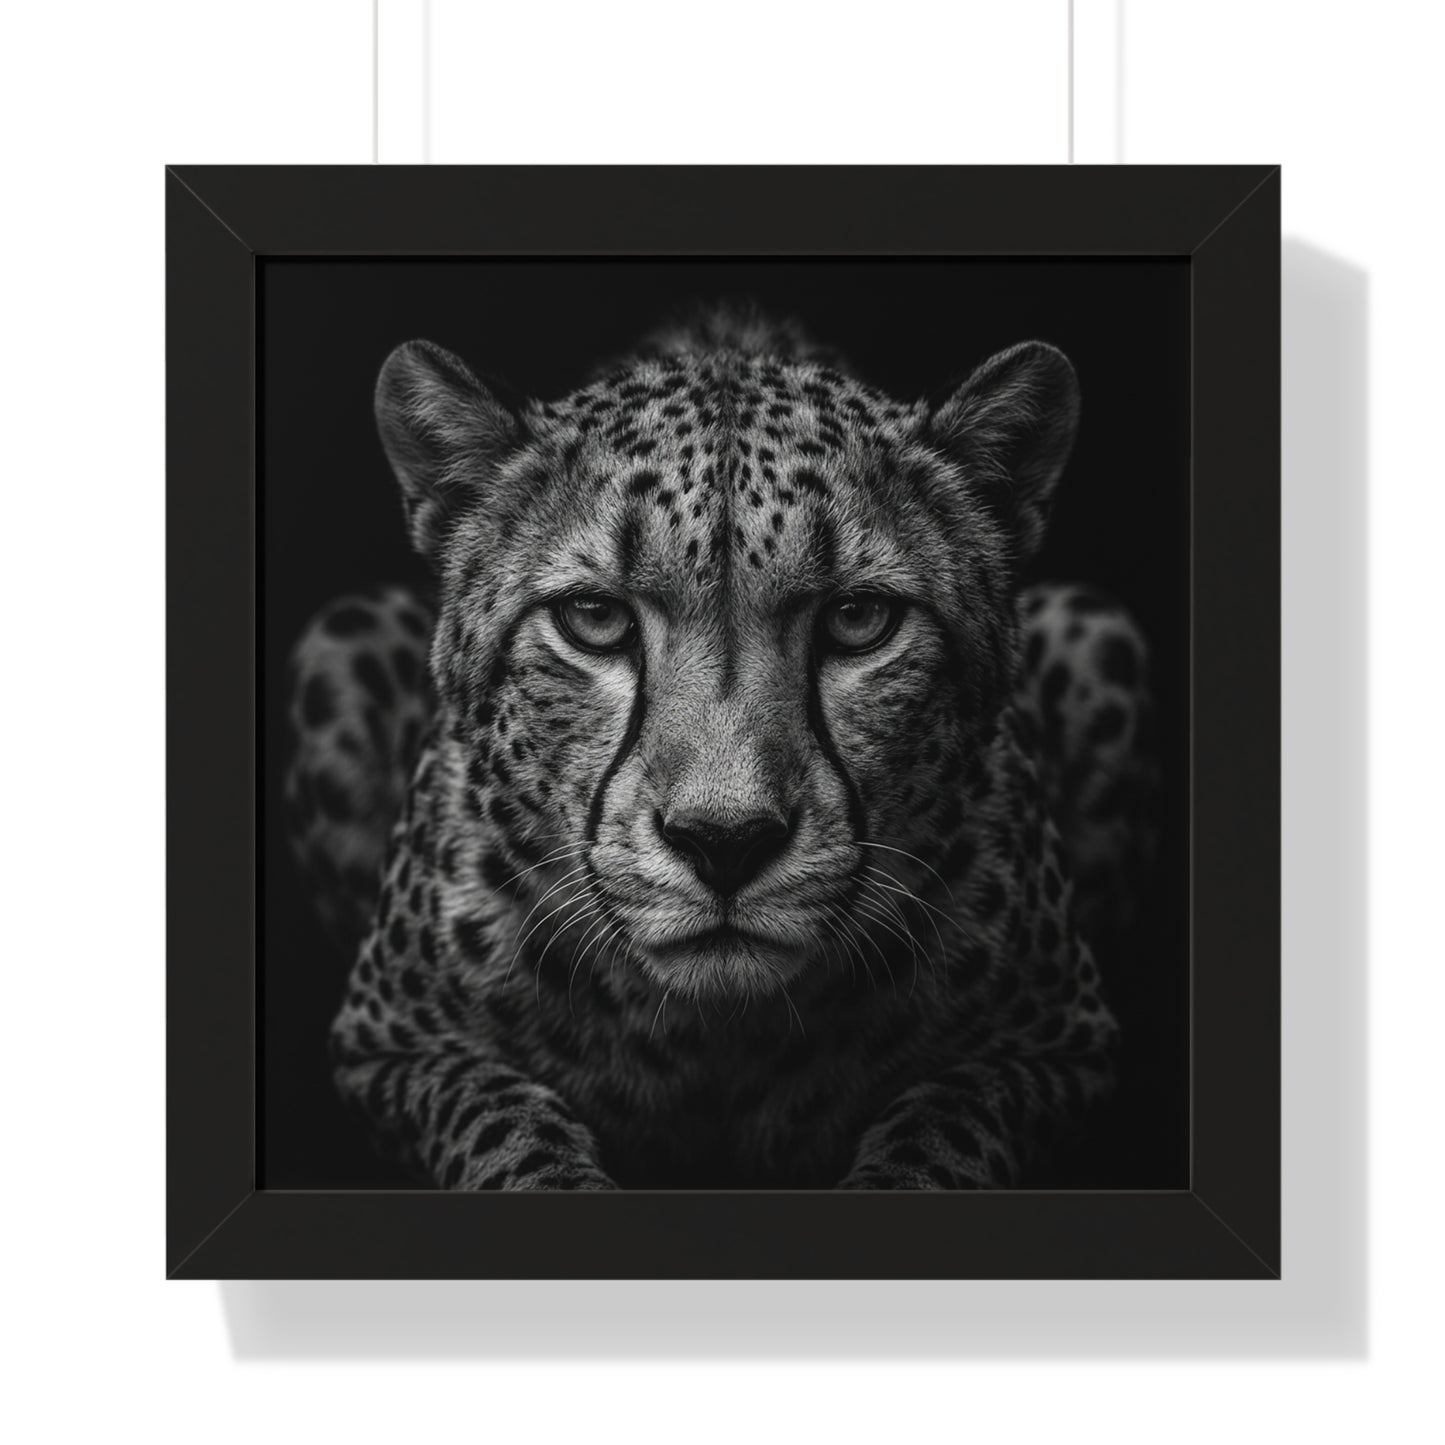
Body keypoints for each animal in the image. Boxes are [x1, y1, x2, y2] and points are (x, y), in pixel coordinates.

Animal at [284, 305, 1158, 1190]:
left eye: (858, 618)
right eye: (594, 617)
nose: (725, 841)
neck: (716, 1036)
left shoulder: (1060, 1046)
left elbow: (939, 1134)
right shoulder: (388, 1047)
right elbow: (506, 1128)